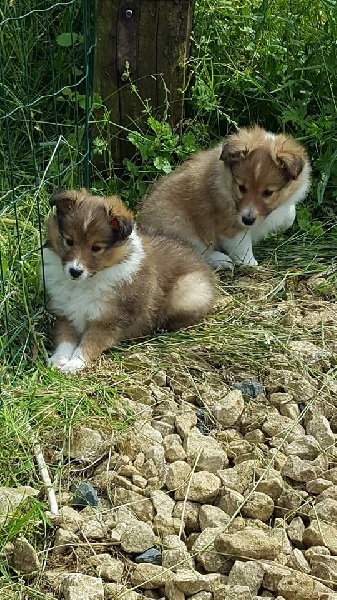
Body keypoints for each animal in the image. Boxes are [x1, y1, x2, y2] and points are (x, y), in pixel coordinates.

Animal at [42, 190, 215, 372]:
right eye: (69, 241)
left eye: (96, 248)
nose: (75, 272)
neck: (87, 282)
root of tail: (202, 262)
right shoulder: (65, 314)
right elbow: (65, 340)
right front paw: (57, 360)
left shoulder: (109, 322)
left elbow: (88, 345)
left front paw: (73, 365)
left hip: (188, 292)